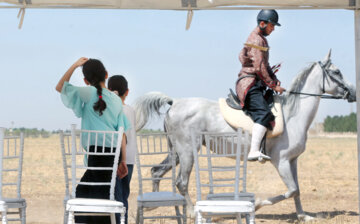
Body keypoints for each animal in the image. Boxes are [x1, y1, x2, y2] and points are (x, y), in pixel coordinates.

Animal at [134, 51, 356, 222]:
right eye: (336, 72)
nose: (353, 93)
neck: (293, 115)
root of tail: (174, 102)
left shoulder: (292, 161)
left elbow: (297, 189)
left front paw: (303, 216)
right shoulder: (282, 161)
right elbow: (291, 189)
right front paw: (256, 204)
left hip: (177, 152)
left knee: (156, 171)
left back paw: (154, 204)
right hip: (188, 152)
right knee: (181, 182)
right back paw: (189, 212)